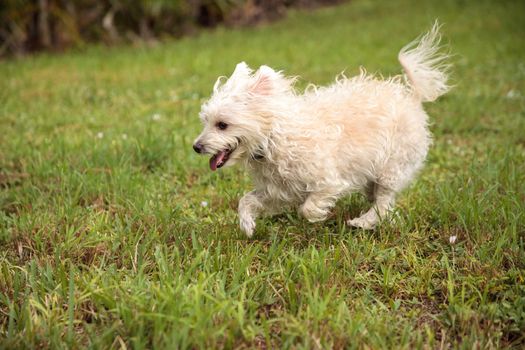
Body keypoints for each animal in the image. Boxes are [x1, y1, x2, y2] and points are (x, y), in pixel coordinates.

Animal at [194, 23, 448, 237]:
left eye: (222, 124)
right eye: (205, 121)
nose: (196, 147)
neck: (273, 138)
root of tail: (412, 97)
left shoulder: (328, 181)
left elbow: (307, 208)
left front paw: (317, 215)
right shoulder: (276, 191)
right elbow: (246, 200)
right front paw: (247, 225)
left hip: (392, 166)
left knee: (383, 203)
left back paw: (362, 222)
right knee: (379, 199)